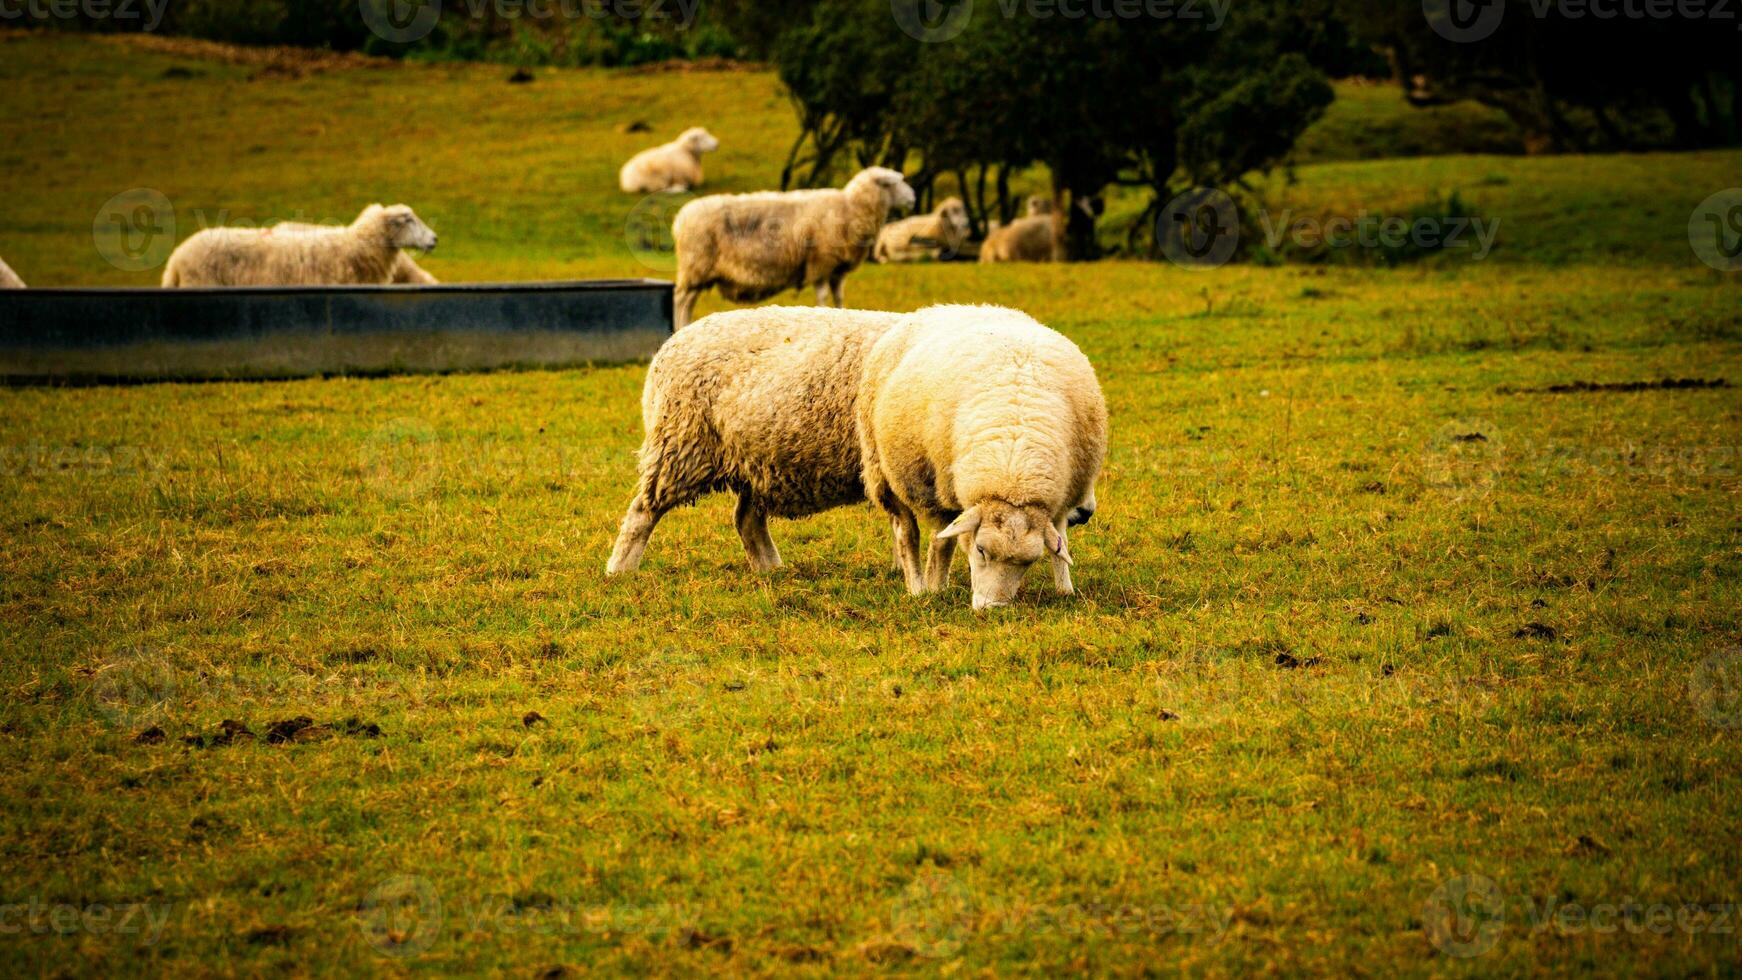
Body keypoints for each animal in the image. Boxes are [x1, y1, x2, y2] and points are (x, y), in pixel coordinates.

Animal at [606, 306, 905, 574]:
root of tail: (667, 348)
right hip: (681, 446)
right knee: (641, 512)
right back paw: (620, 570)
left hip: (757, 463)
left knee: (746, 521)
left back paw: (770, 569)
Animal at [665, 169, 919, 334]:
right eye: (892, 183)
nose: (914, 198)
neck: (850, 207)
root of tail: (679, 219)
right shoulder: (820, 262)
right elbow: (822, 295)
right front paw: (824, 314)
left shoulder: (837, 269)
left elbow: (838, 296)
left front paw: (841, 314)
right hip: (696, 264)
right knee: (680, 298)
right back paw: (679, 329)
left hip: (699, 270)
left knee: (688, 301)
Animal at [860, 306, 1114, 609]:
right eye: (981, 550)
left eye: (1029, 562)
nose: (992, 608)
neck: (1015, 472)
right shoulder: (945, 491)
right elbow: (943, 541)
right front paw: (935, 587)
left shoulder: (1062, 499)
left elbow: (1059, 542)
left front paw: (1065, 589)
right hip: (888, 473)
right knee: (909, 534)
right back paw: (921, 588)